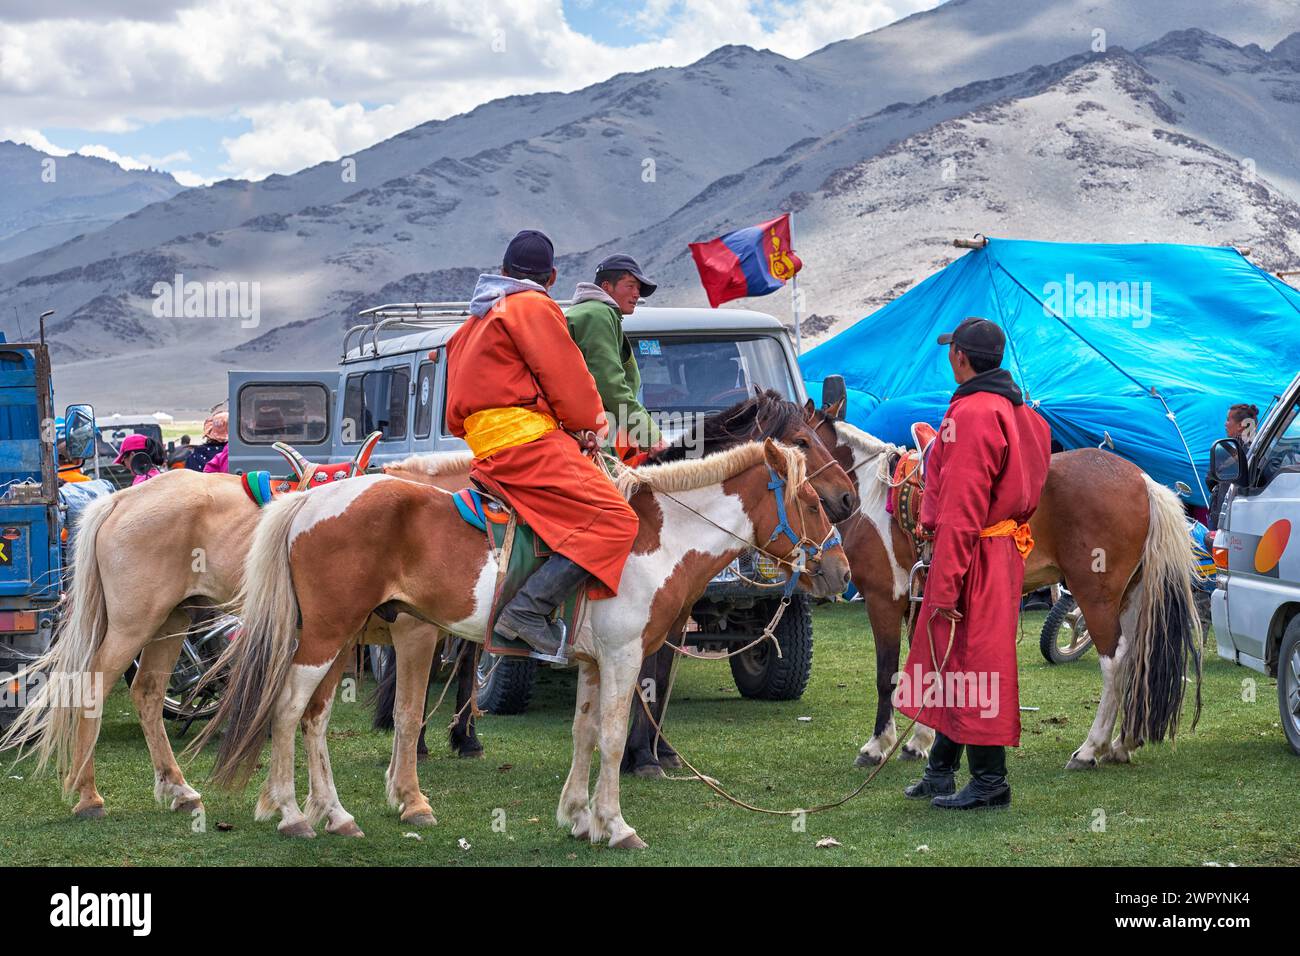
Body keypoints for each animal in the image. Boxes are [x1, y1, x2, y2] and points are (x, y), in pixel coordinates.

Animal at [1, 450, 473, 822]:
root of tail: (119, 499)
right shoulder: (415, 632)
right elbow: (408, 713)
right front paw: (413, 799)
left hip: (172, 621)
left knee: (148, 692)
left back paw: (179, 790)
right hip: (132, 624)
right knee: (92, 688)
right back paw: (88, 796)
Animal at [188, 437, 847, 848]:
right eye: (812, 500)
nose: (840, 572)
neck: (652, 542)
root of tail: (309, 498)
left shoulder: (591, 662)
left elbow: (584, 735)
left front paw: (579, 819)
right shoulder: (623, 656)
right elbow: (613, 737)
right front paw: (616, 825)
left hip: (339, 636)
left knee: (316, 717)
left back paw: (335, 815)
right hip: (326, 637)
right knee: (287, 710)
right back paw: (291, 814)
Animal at [806, 403, 1201, 770]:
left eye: (804, 444)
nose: (842, 500)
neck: (872, 496)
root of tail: (1143, 480)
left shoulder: (883, 599)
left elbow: (887, 675)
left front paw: (878, 745)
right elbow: (928, 669)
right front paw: (919, 741)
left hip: (1095, 596)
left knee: (1115, 661)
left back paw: (1092, 748)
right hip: (1131, 596)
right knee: (1138, 657)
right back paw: (1123, 743)